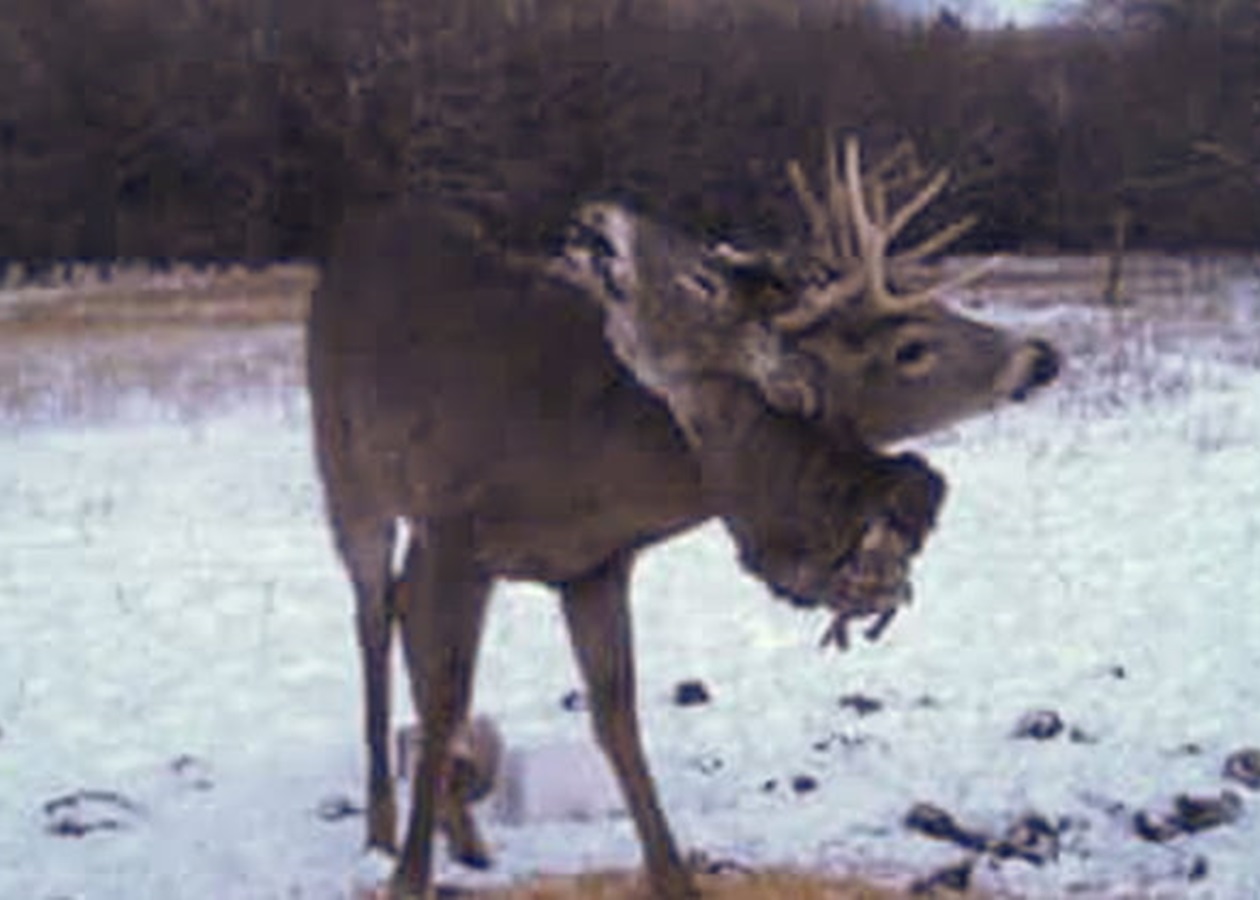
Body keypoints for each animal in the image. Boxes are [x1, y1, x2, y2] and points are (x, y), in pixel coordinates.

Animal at [307, 134, 1063, 897]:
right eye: (911, 346)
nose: (1042, 355)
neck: (592, 464)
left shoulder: (595, 565)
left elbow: (615, 716)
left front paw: (673, 874)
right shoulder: (454, 527)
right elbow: (445, 701)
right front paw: (407, 877)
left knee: (403, 608)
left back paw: (464, 835)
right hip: (348, 476)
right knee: (373, 619)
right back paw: (382, 827)